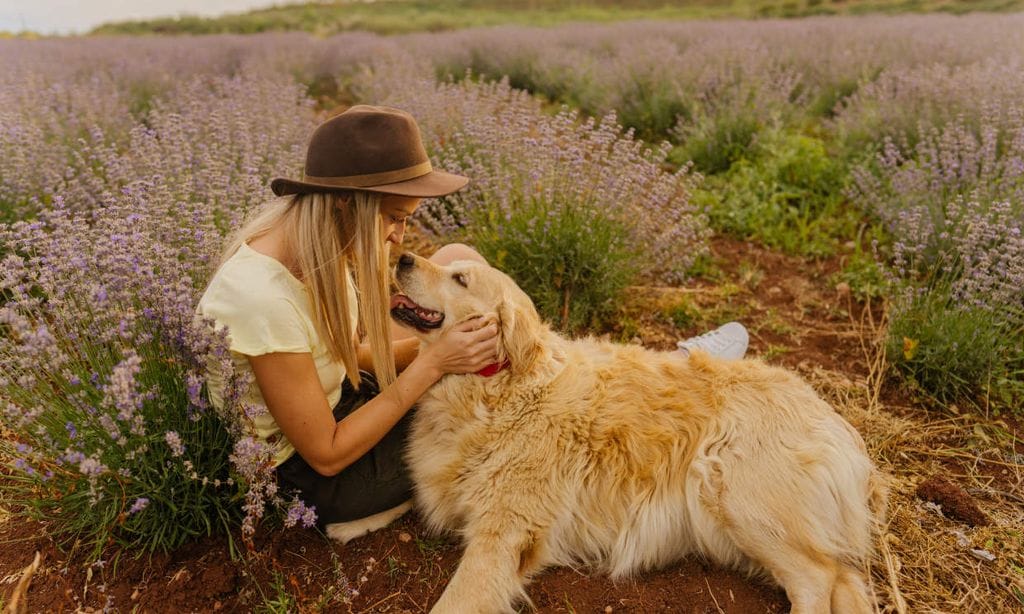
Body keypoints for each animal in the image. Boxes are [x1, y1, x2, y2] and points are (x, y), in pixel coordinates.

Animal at [387, 251, 884, 609]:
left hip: (736, 497)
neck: (501, 389)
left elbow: (453, 603)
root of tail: (838, 422)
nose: (404, 257)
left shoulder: (503, 535)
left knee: (819, 579)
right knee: (845, 580)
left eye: (460, 280)